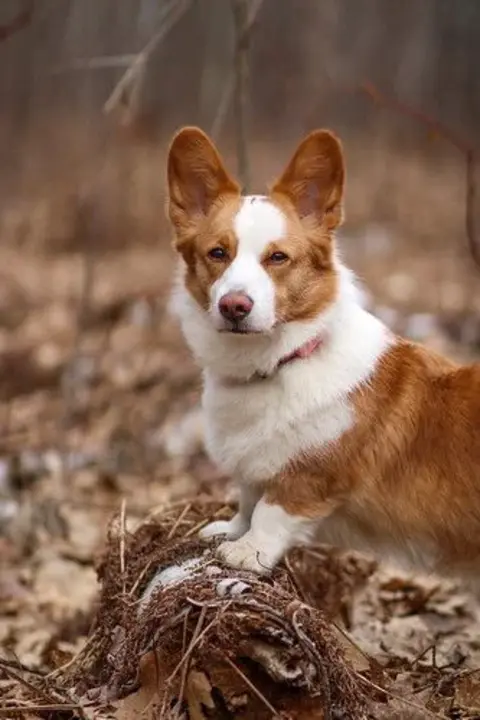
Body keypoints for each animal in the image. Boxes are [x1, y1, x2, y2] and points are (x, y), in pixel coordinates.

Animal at [166, 125, 480, 584]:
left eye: (278, 257)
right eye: (217, 253)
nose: (234, 306)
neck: (280, 361)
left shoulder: (309, 478)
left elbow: (270, 511)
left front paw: (246, 551)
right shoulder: (254, 470)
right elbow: (247, 498)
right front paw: (230, 530)